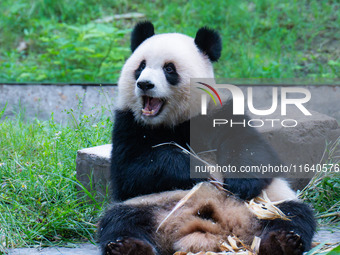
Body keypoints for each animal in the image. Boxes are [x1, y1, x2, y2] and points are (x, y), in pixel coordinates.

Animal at [98, 21, 316, 255]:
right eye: (141, 66)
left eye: (169, 69)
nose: (145, 84)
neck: (175, 121)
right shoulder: (128, 124)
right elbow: (131, 170)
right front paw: (197, 171)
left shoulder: (220, 112)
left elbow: (253, 150)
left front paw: (240, 183)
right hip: (145, 205)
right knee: (119, 221)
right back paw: (128, 246)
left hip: (269, 201)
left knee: (293, 214)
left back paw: (283, 241)